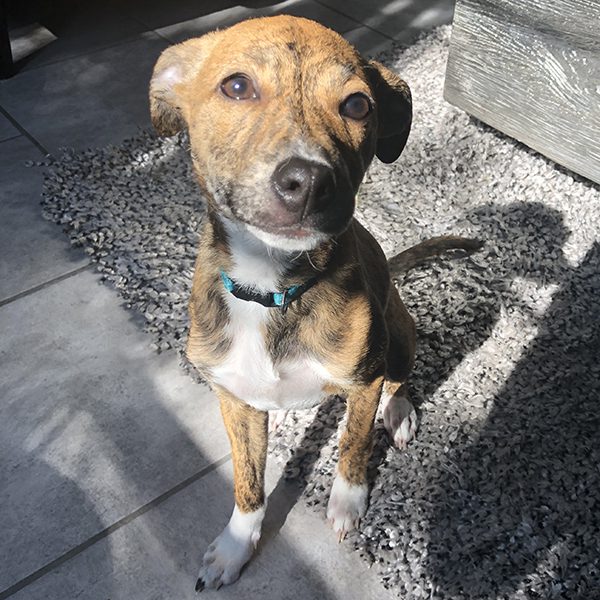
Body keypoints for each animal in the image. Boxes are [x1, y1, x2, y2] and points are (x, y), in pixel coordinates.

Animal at [151, 14, 482, 592]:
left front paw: (348, 503)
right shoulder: (230, 395)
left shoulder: (362, 379)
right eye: (236, 86)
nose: (308, 182)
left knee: (398, 379)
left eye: (358, 105)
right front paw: (235, 545)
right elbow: (246, 480)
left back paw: (398, 412)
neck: (272, 288)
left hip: (400, 332)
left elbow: (352, 443)